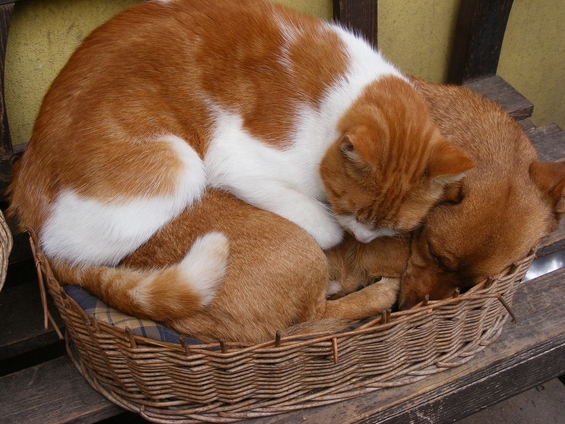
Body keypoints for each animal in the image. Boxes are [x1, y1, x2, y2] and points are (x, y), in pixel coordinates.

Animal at [9, 0, 472, 315]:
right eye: (350, 209)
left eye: (391, 228)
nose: (362, 237)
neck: (339, 96)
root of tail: (25, 186)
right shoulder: (236, 160)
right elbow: (324, 230)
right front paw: (335, 236)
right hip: (176, 165)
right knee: (78, 252)